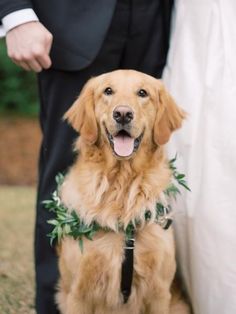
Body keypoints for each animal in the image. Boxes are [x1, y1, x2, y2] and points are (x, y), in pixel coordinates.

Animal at [58, 70, 191, 312]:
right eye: (108, 91)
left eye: (142, 93)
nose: (122, 114)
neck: (122, 181)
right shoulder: (77, 293)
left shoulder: (159, 292)